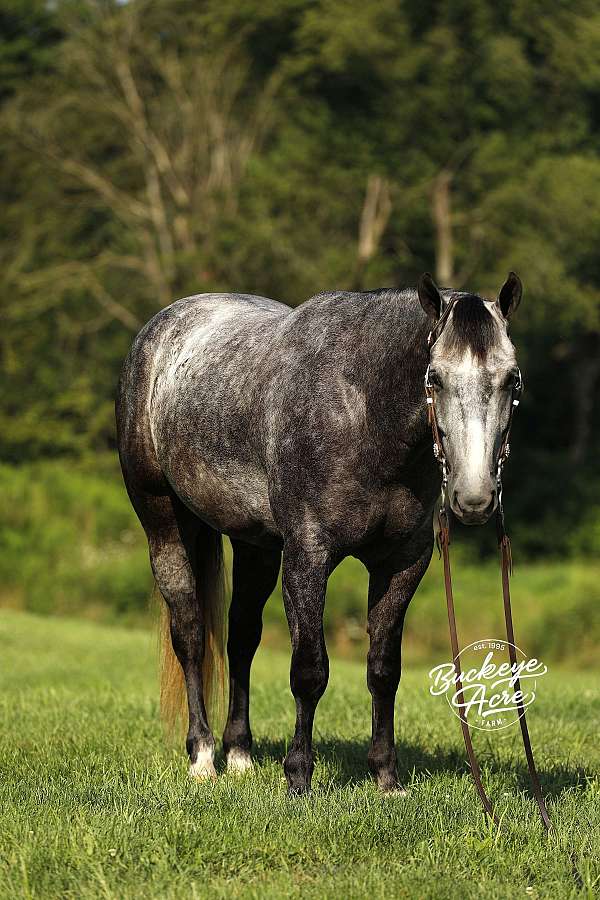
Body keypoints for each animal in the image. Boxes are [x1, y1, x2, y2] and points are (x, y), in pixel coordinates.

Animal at [115, 271, 523, 794]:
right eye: (435, 377)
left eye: (511, 378)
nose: (474, 498)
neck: (362, 413)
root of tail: (160, 329)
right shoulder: (308, 558)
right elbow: (309, 670)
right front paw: (299, 777)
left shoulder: (402, 564)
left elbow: (383, 669)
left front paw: (386, 777)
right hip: (164, 524)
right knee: (189, 635)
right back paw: (203, 757)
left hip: (255, 546)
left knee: (241, 638)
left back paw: (240, 754)